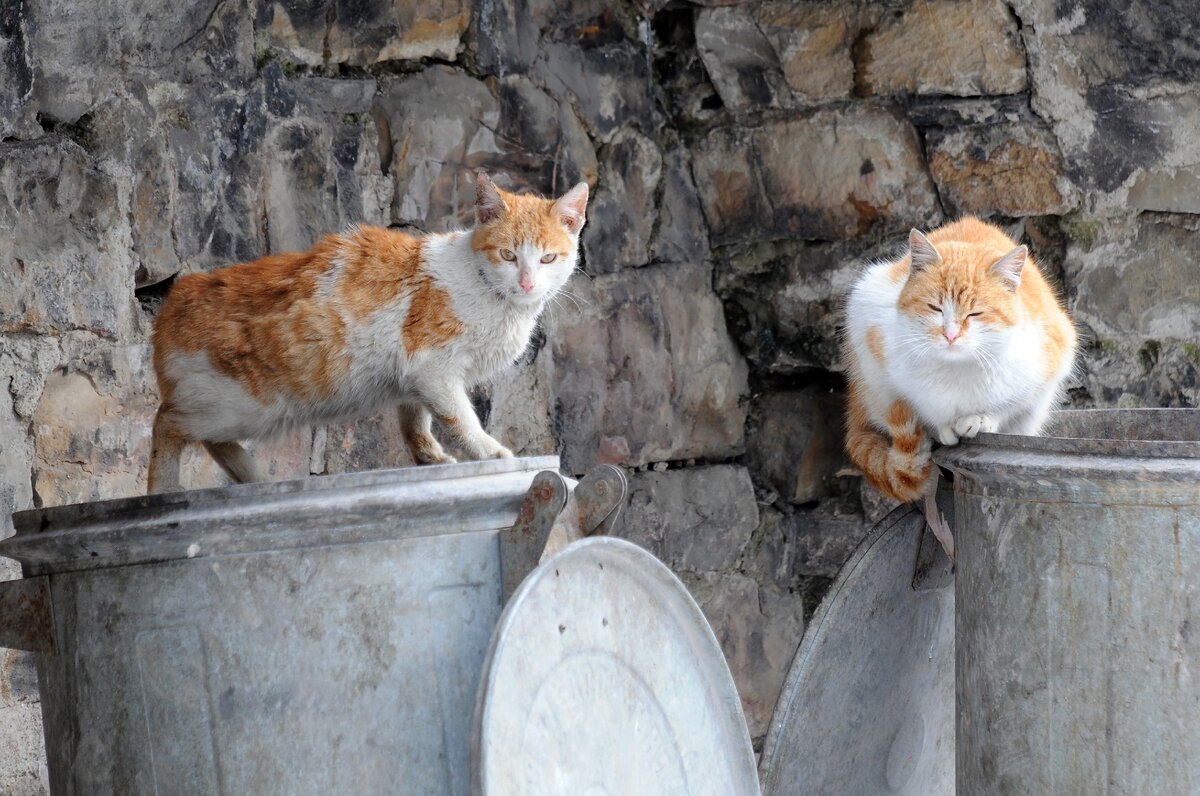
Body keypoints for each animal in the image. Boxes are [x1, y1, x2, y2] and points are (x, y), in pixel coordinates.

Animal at [147, 172, 588, 492]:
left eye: (548, 258)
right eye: (508, 255)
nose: (527, 283)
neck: (490, 292)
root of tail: (174, 301)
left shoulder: (415, 378)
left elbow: (415, 421)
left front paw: (430, 457)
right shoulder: (435, 368)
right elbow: (460, 418)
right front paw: (488, 451)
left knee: (211, 440)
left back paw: (249, 476)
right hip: (242, 403)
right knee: (166, 422)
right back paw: (162, 489)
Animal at [844, 218, 1080, 501]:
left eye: (975, 313)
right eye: (935, 308)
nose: (950, 334)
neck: (957, 370)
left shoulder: (1049, 363)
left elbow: (1009, 404)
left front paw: (980, 419)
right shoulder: (883, 357)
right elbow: (925, 408)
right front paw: (943, 427)